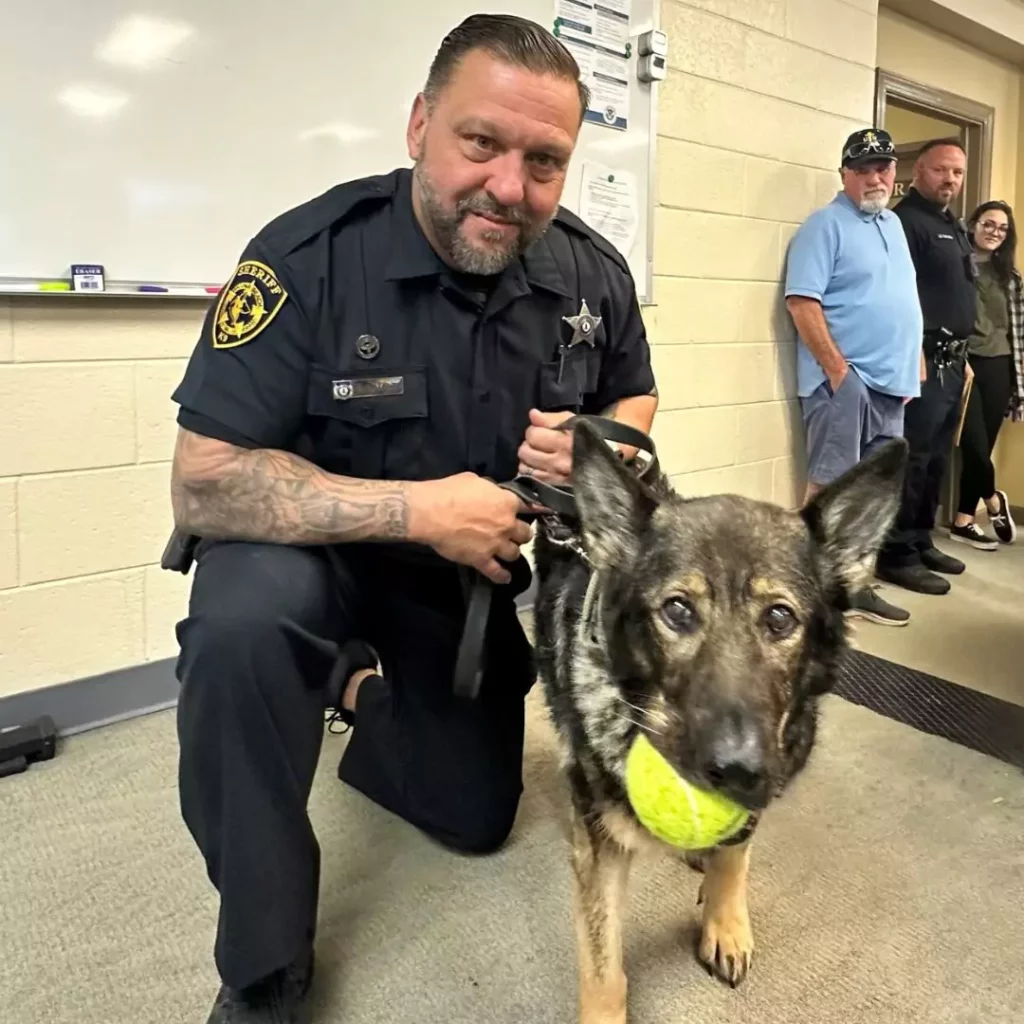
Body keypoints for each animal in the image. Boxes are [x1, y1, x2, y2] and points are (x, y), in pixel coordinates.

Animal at [532, 417, 909, 1024]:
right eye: (677, 610)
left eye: (779, 618)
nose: (736, 769)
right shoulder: (602, 851)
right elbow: (602, 960)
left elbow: (735, 856)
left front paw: (725, 924)